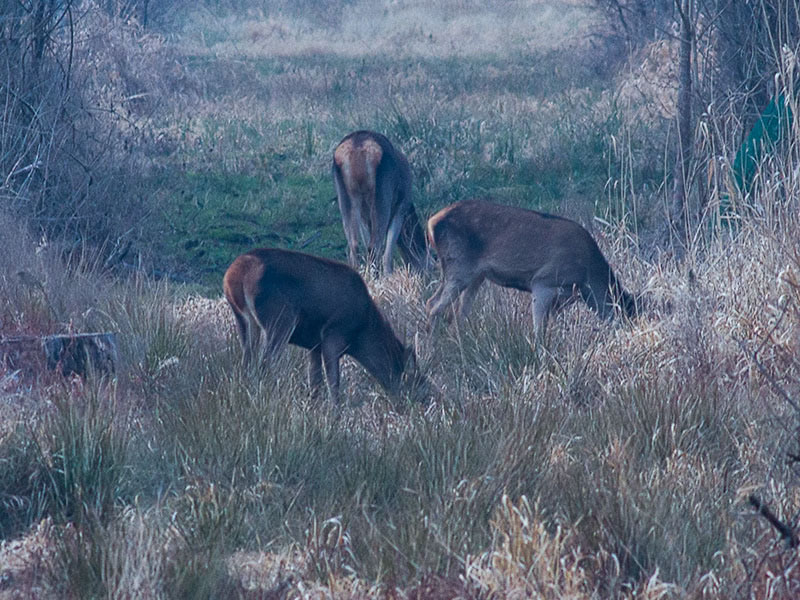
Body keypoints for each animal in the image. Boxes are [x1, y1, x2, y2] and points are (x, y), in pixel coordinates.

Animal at [222, 246, 428, 400]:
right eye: (416, 382)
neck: (360, 334)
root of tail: (234, 275)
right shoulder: (333, 335)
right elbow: (333, 383)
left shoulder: (314, 344)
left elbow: (315, 382)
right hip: (280, 318)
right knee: (265, 364)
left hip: (243, 320)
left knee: (247, 363)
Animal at [332, 130, 432, 276]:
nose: (430, 271)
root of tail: (357, 150)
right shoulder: (401, 206)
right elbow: (389, 249)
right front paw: (388, 274)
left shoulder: (364, 215)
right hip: (382, 193)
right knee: (374, 245)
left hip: (345, 195)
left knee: (354, 245)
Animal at [424, 200, 636, 340]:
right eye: (627, 315)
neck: (586, 279)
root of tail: (431, 224)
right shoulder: (543, 282)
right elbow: (538, 331)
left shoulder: (561, 300)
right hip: (459, 266)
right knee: (434, 305)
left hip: (474, 275)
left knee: (458, 313)